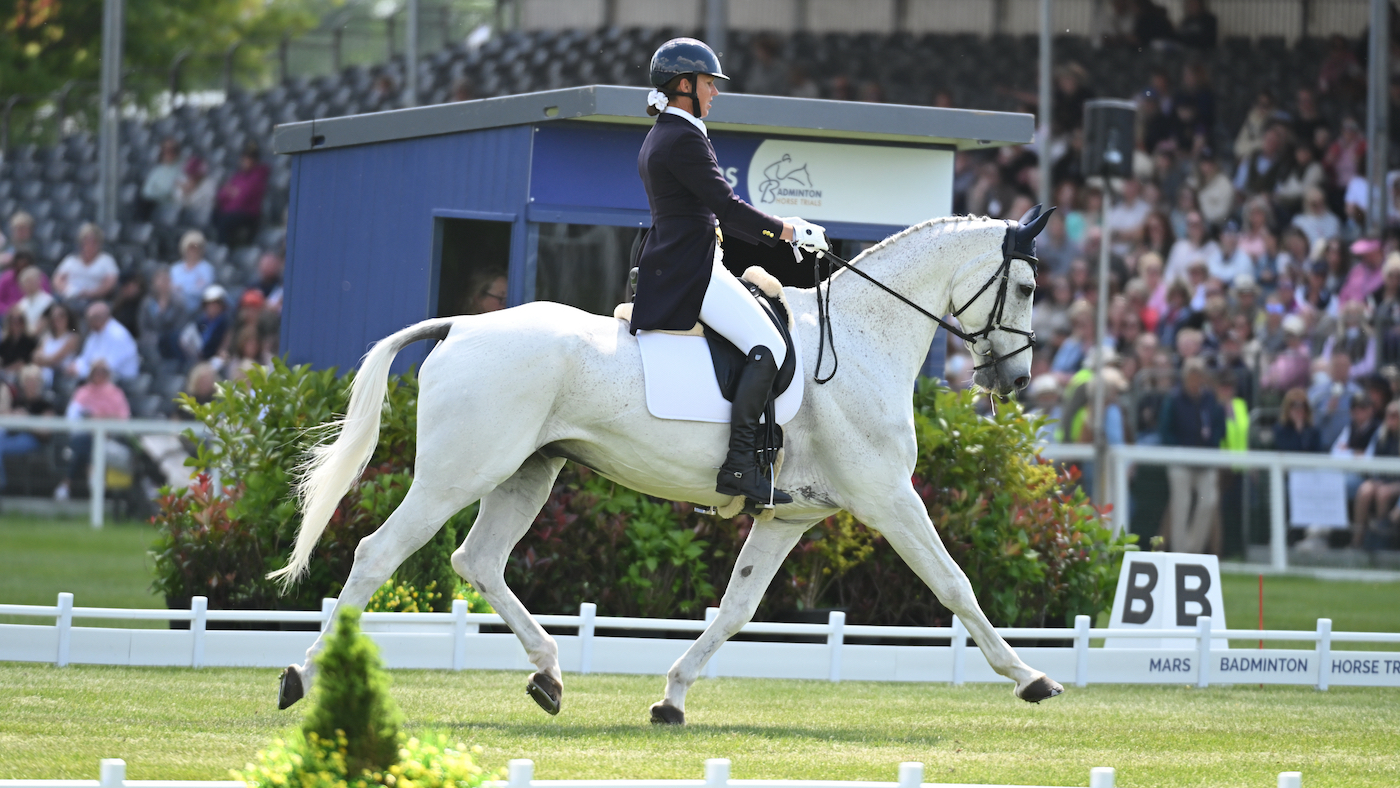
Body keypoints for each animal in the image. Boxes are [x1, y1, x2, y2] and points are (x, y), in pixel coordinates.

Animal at [271, 207, 1062, 723]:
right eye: (1026, 289)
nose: (1016, 381)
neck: (862, 340)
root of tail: (461, 324)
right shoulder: (891, 498)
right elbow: (956, 585)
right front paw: (1029, 678)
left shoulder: (790, 518)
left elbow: (737, 608)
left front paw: (671, 697)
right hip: (456, 475)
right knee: (378, 555)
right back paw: (301, 676)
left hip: (529, 471)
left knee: (479, 561)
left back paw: (549, 676)